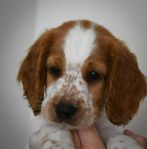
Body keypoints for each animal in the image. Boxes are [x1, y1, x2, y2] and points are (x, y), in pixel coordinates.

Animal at [17, 20, 146, 149]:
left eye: (94, 74)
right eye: (54, 69)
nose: (64, 110)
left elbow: (118, 137)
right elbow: (54, 128)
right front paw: (60, 144)